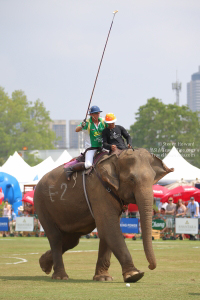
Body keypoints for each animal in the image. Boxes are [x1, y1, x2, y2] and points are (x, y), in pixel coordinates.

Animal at [33, 149, 173, 282]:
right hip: (42, 204)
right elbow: (109, 227)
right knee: (55, 237)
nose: (150, 266)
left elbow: (107, 230)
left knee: (71, 240)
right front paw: (134, 275)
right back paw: (60, 277)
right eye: (131, 179)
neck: (116, 157)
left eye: (153, 178)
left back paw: (43, 264)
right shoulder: (98, 190)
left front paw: (103, 278)